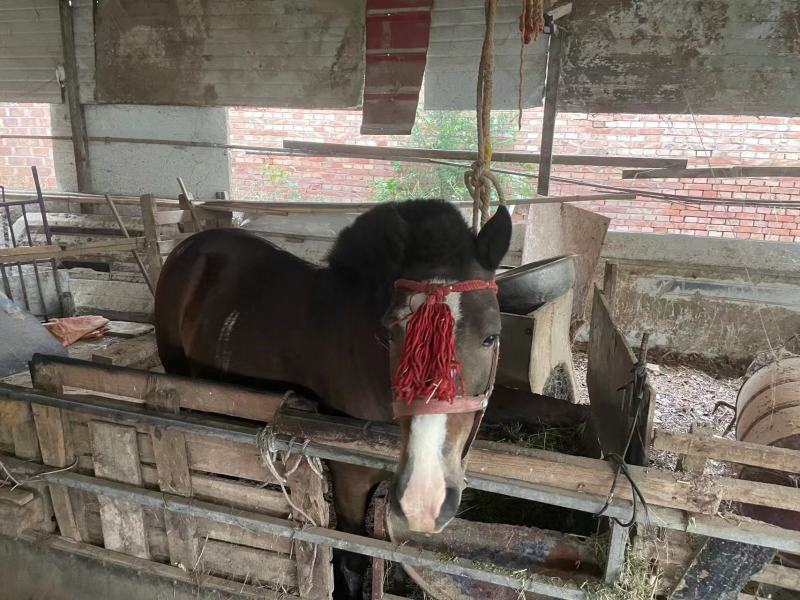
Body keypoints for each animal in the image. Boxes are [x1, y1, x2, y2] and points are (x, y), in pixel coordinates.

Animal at [154, 199, 512, 597]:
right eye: (393, 334)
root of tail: (190, 246)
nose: (425, 498)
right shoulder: (349, 477)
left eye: (491, 337)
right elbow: (351, 557)